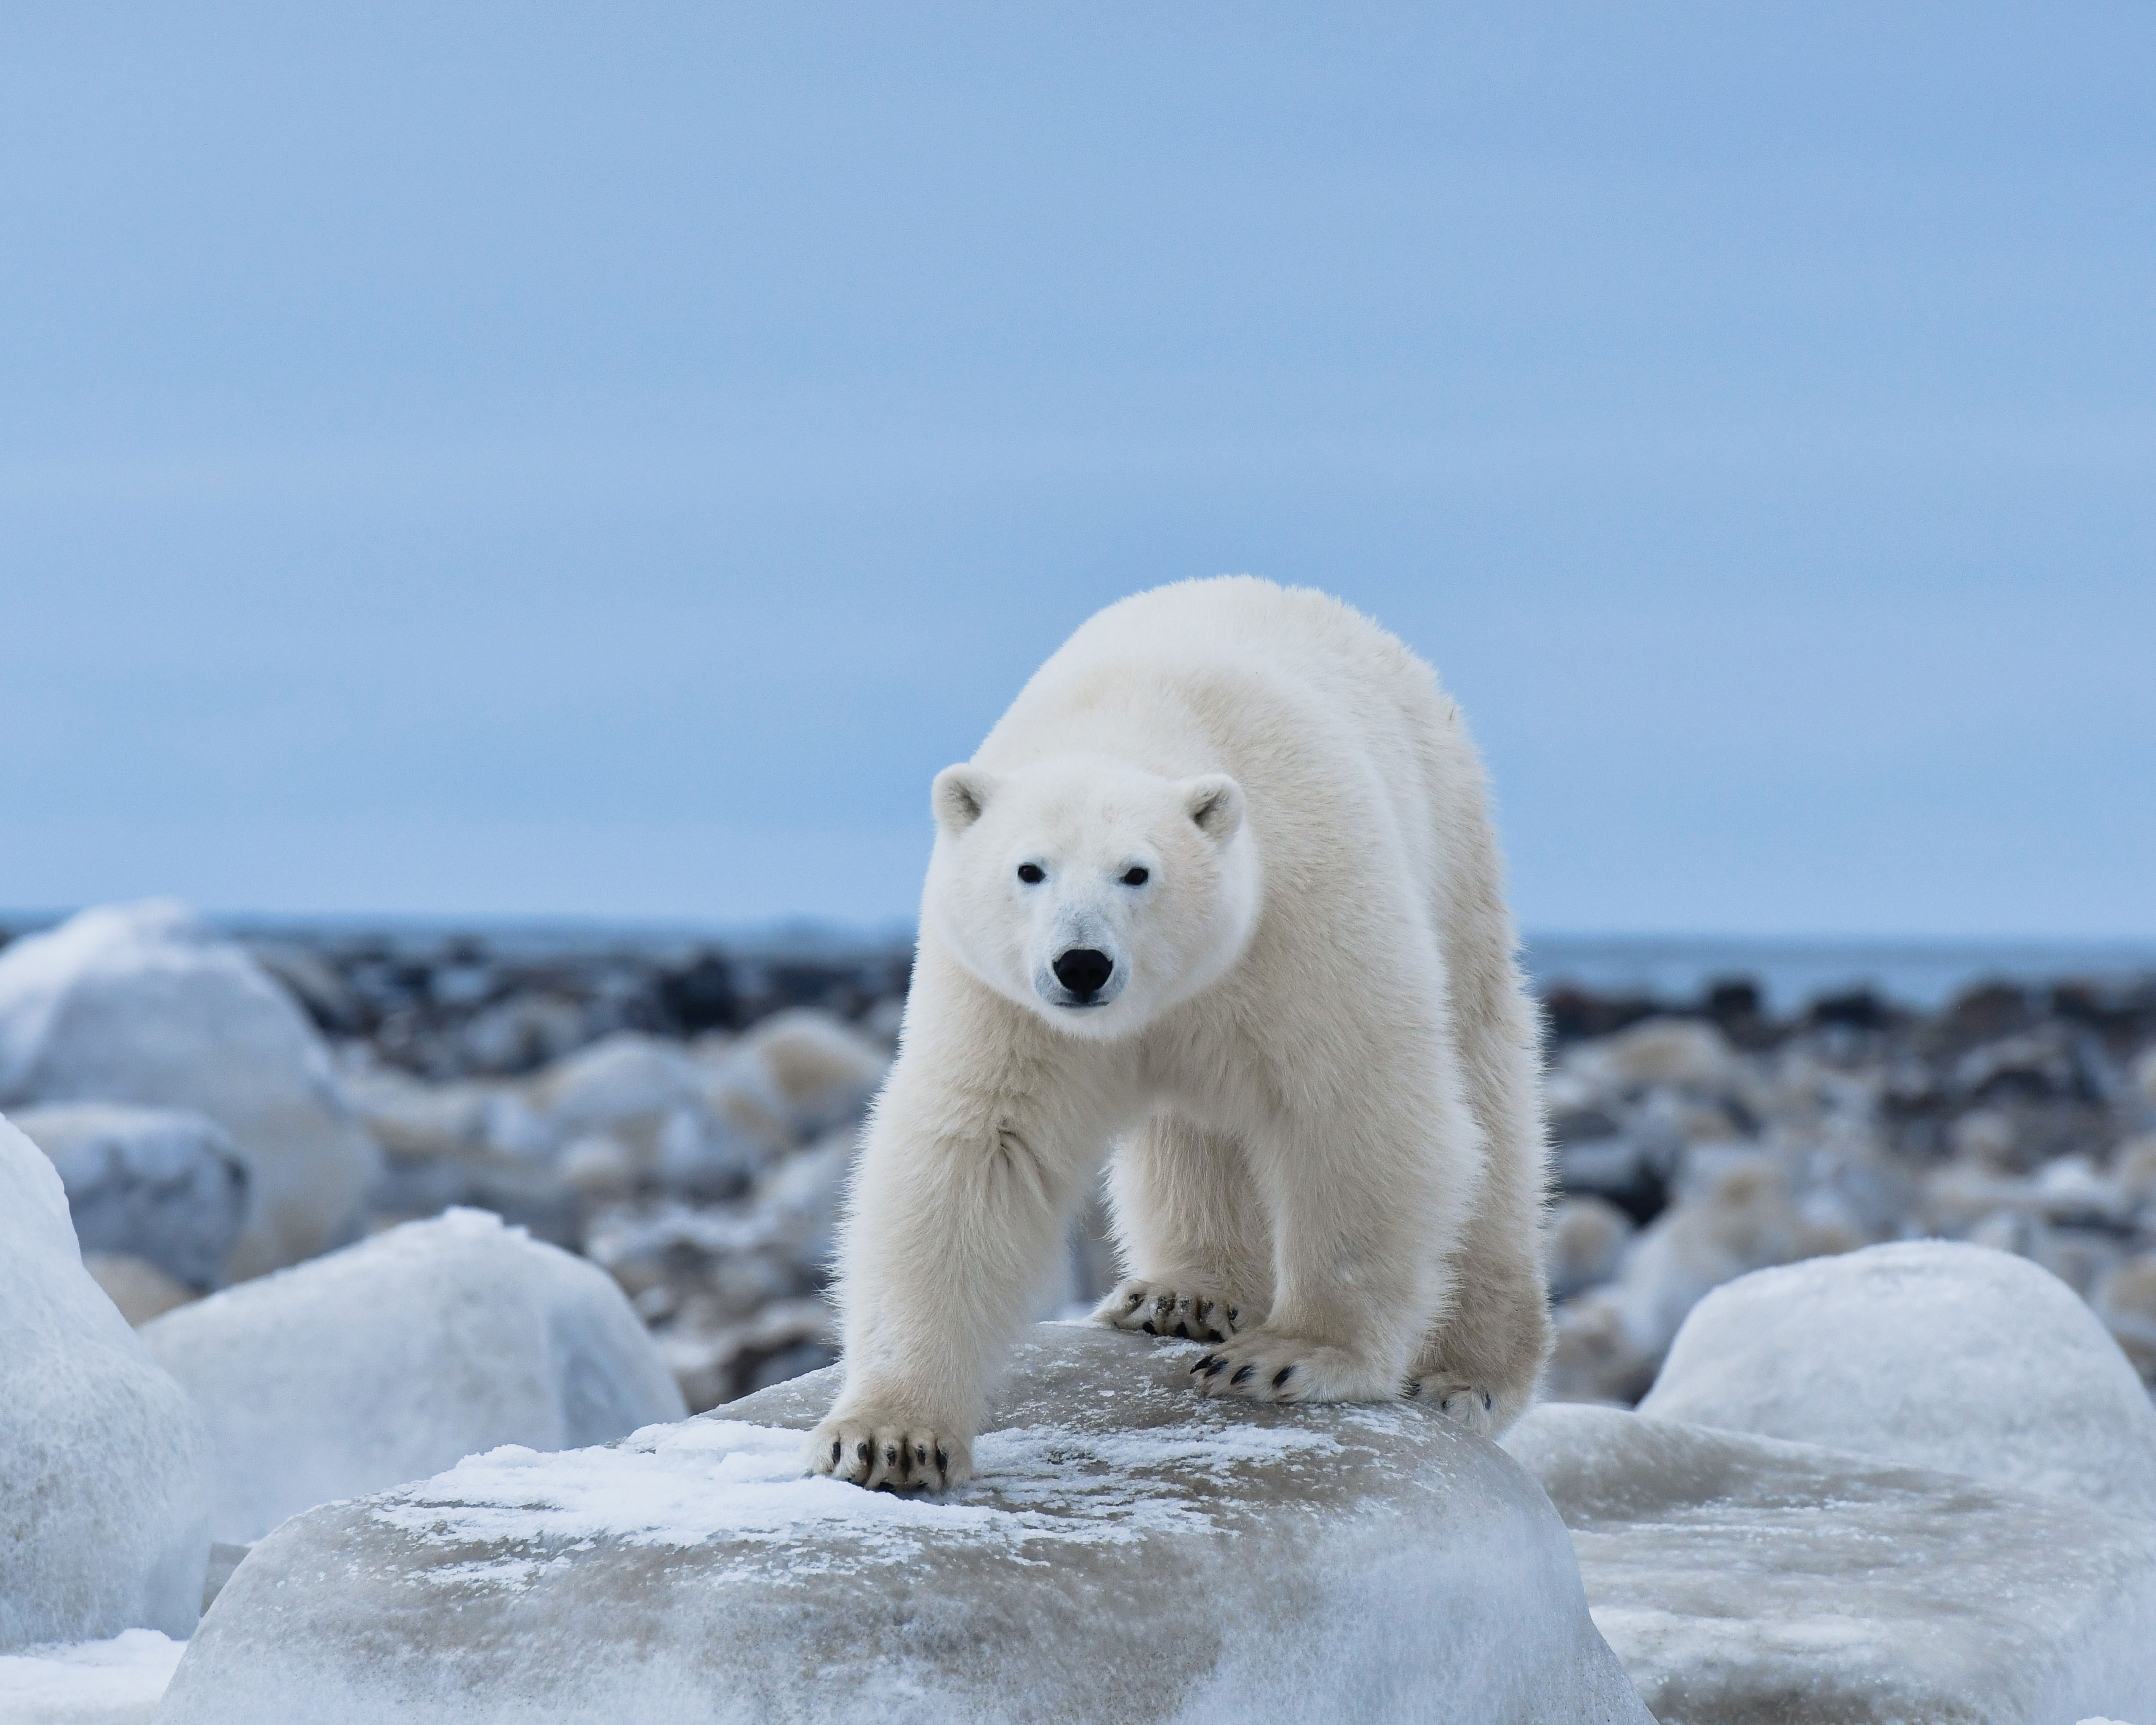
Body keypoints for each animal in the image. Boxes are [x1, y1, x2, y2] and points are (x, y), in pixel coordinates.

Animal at [810, 582, 1552, 1492]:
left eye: (1138, 871)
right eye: (1029, 868)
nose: (1082, 964)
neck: (1135, 712)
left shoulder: (1305, 916)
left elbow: (1354, 1107)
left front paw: (1288, 1355)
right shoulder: (1001, 998)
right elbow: (977, 1147)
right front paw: (888, 1438)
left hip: (1453, 853)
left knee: (1487, 1110)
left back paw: (1466, 1376)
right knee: (1191, 1140)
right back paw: (1182, 1297)